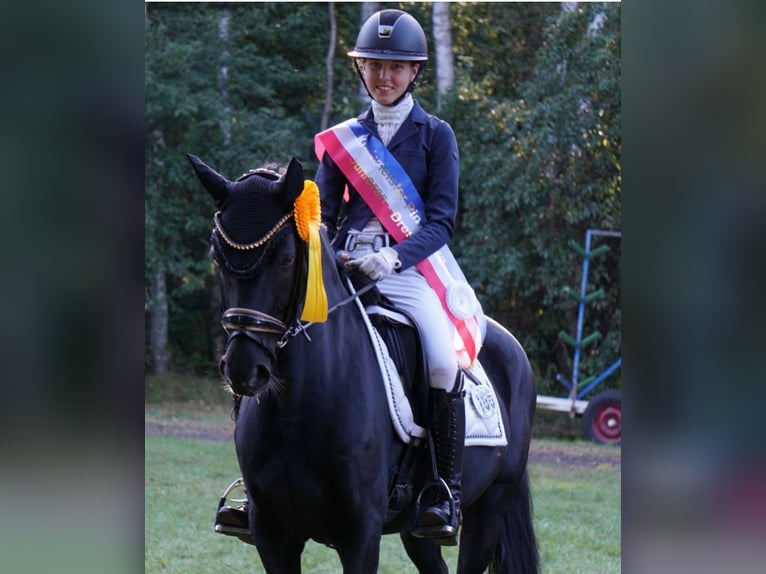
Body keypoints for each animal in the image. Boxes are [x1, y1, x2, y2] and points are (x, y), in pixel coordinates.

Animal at [190, 154, 540, 574]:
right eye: (217, 258)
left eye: (286, 259)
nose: (244, 368)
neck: (298, 408)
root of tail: (513, 347)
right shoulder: (272, 535)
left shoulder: (360, 536)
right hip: (414, 529)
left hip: (487, 510)